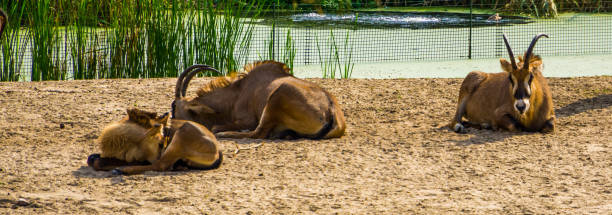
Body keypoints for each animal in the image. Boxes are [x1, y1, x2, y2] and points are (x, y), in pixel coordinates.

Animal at [170, 59, 346, 139]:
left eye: (173, 107)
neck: (237, 93)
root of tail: (330, 110)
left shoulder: (247, 121)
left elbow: (215, 127)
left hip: (276, 98)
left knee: (257, 134)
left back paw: (226, 133)